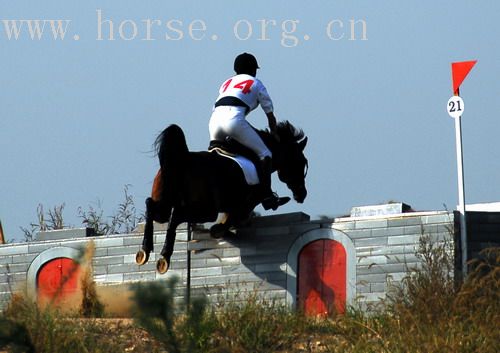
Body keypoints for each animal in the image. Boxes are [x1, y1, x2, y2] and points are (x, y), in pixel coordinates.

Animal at [137, 121, 308, 272]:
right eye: (302, 162)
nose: (302, 194)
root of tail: (183, 159)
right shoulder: (245, 204)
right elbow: (228, 222)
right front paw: (221, 229)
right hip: (206, 211)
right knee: (175, 216)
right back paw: (164, 256)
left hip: (165, 204)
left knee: (152, 206)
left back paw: (144, 250)